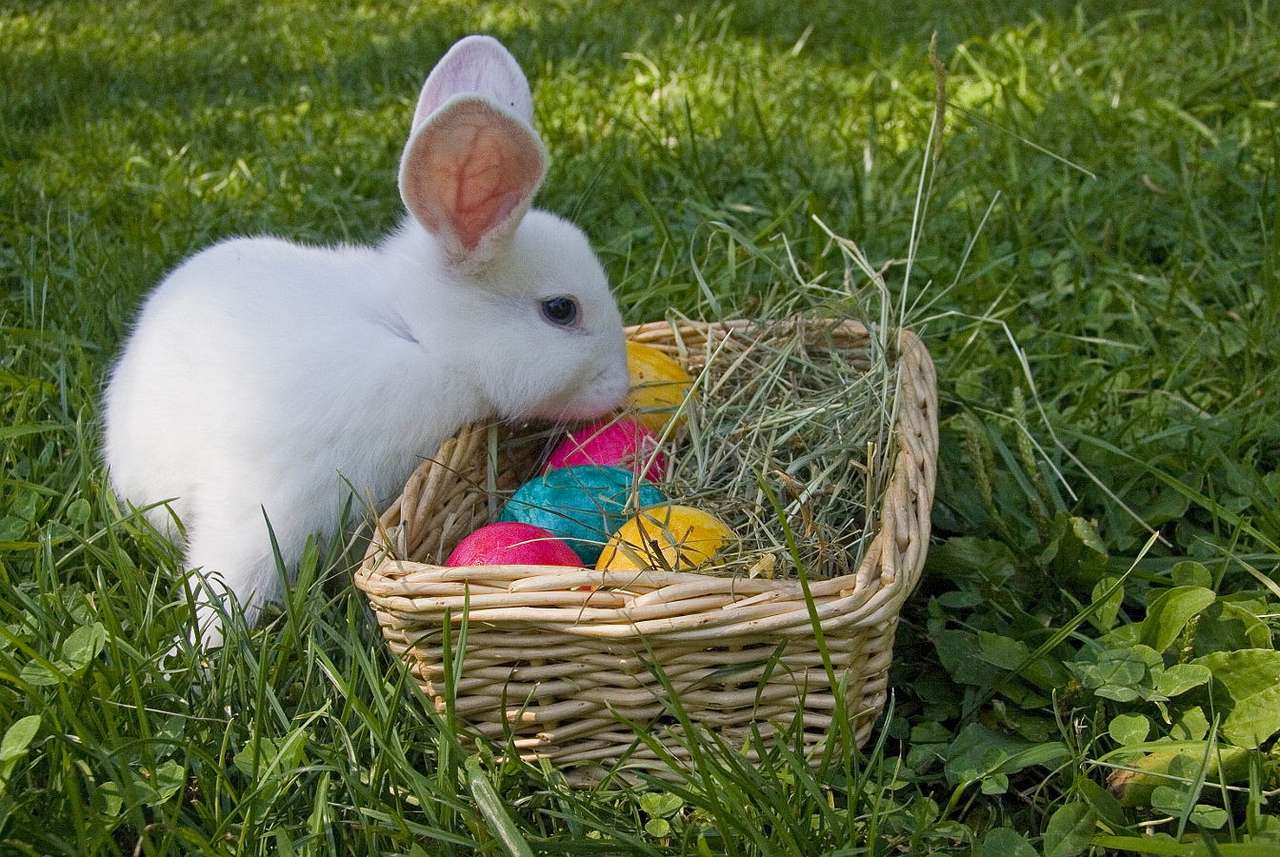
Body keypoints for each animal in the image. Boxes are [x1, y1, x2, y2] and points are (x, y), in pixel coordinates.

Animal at [103, 36, 629, 647]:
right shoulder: (267, 505)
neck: (421, 341)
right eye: (560, 310)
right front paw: (200, 652)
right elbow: (230, 575)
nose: (622, 387)